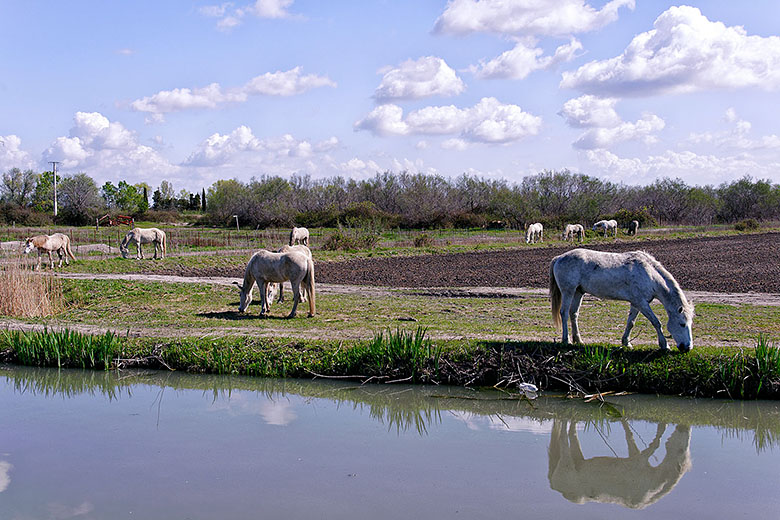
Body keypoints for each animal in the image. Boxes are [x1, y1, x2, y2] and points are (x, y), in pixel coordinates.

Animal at [544, 420, 692, 510]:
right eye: (681, 450)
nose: (685, 427)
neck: (652, 483)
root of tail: (554, 486)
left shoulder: (635, 456)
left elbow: (629, 434)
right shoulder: (639, 459)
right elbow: (655, 444)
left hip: (577, 459)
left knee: (572, 432)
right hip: (566, 461)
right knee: (564, 436)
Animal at [548, 249, 696, 354]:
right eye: (682, 324)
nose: (687, 347)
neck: (650, 274)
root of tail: (559, 258)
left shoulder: (636, 303)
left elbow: (631, 323)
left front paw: (626, 342)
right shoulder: (642, 303)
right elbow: (656, 322)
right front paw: (664, 345)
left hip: (578, 292)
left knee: (573, 314)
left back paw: (578, 340)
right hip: (568, 291)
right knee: (564, 313)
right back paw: (566, 340)